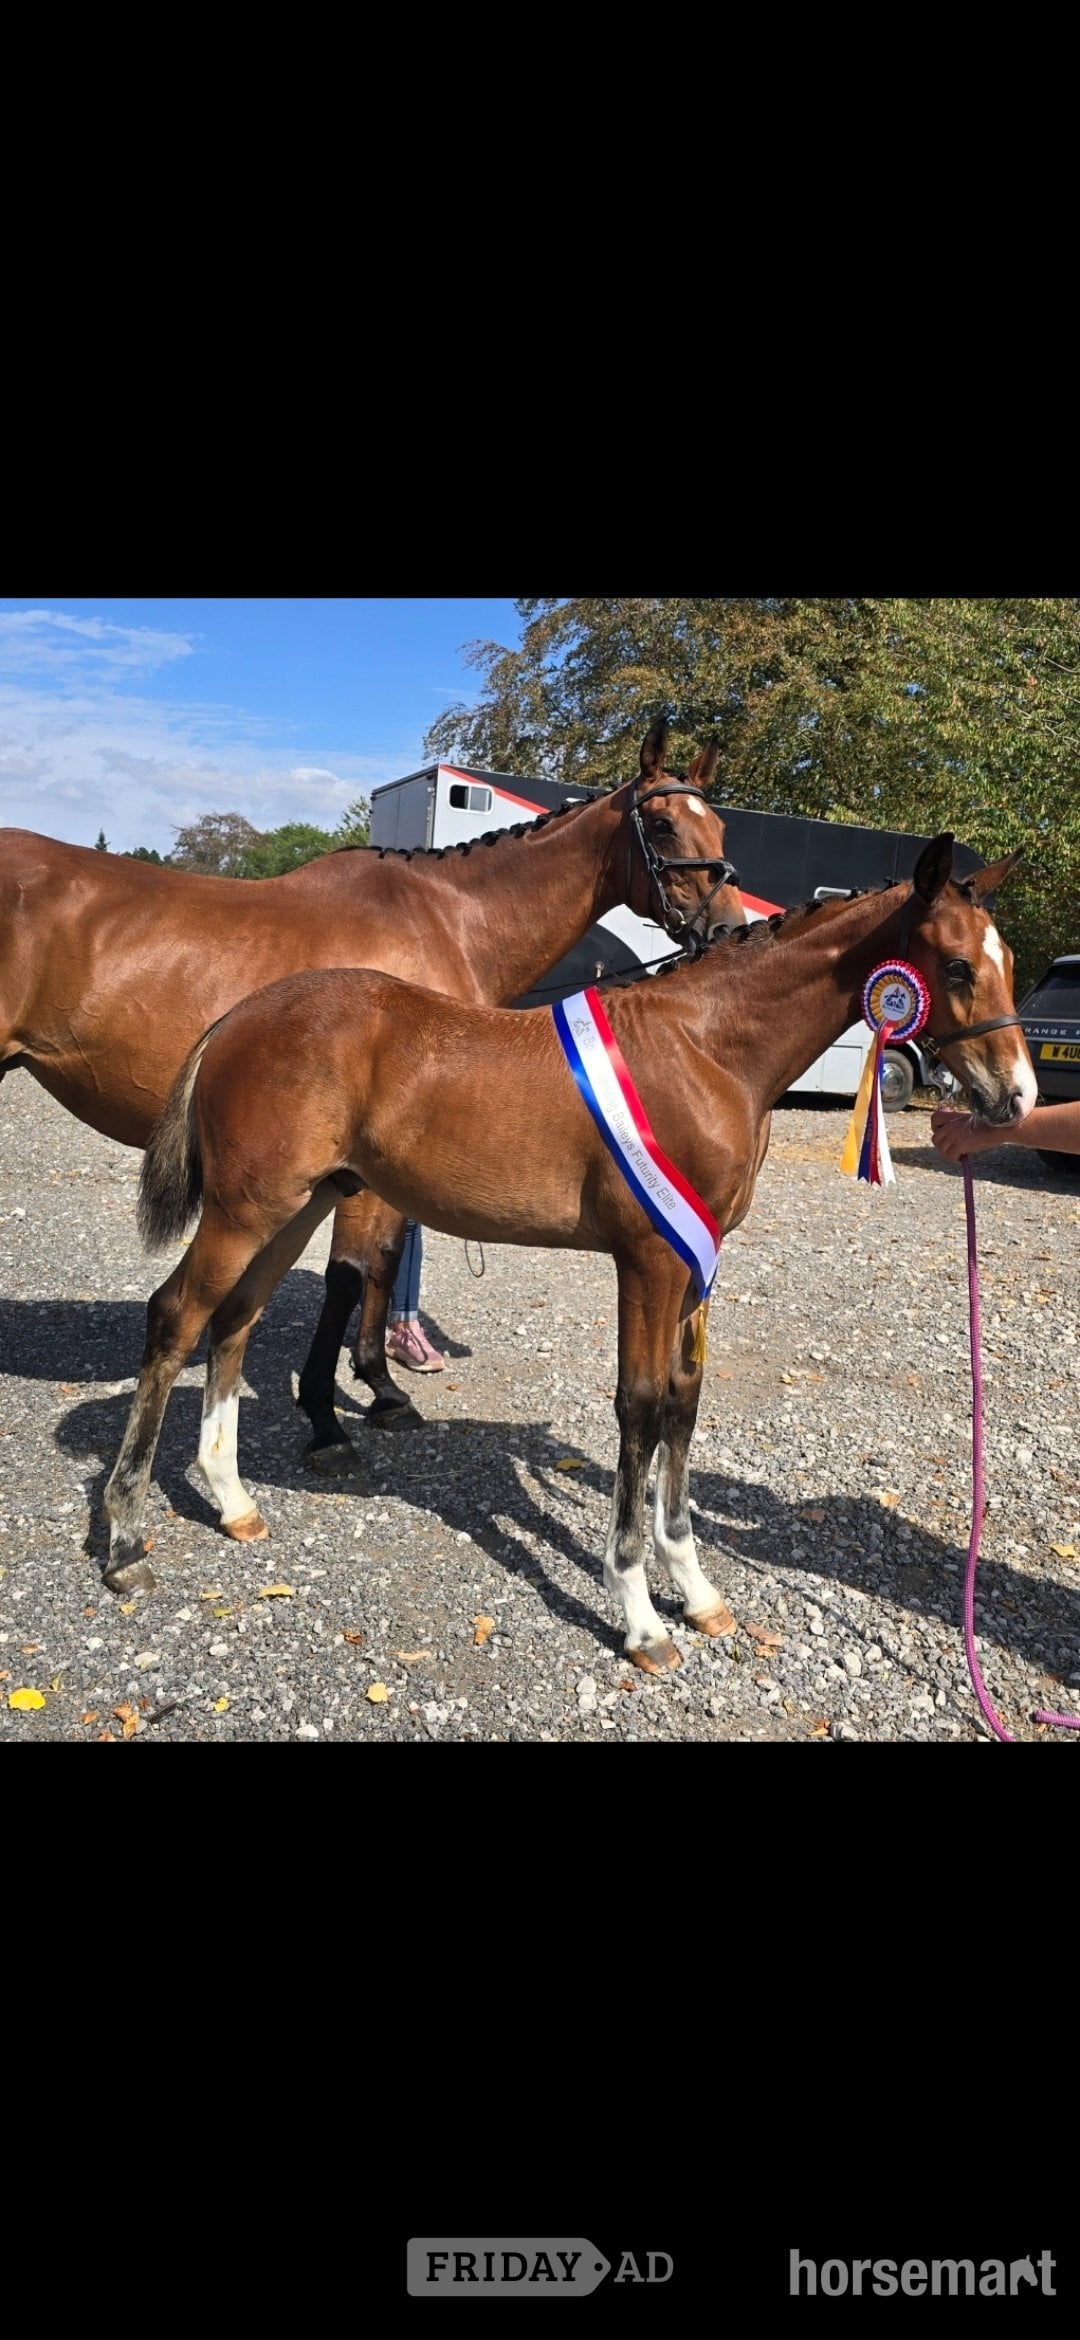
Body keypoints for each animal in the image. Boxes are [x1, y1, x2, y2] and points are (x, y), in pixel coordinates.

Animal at [0, 719, 742, 1461]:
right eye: (664, 825)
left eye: (721, 829)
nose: (730, 929)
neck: (450, 922)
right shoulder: (363, 1168)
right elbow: (355, 1272)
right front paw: (338, 1409)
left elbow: (374, 1266)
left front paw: (372, 1384)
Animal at [103, 832, 1033, 1671]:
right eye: (956, 966)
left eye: (1010, 961)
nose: (1016, 1098)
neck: (706, 1050)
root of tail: (240, 1015)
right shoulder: (650, 1259)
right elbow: (641, 1408)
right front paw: (641, 1616)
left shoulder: (698, 1265)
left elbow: (684, 1404)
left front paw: (697, 1592)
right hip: (245, 1210)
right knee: (177, 1316)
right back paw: (123, 1539)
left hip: (295, 1206)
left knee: (234, 1319)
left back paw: (232, 1502)